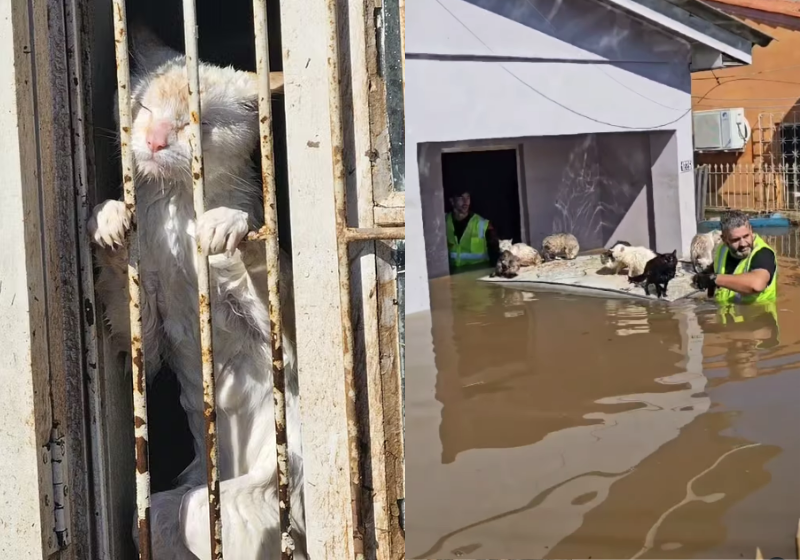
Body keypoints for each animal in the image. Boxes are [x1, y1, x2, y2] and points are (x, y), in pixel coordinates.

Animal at [88, 25, 306, 560]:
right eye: (143, 106)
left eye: (194, 121)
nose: (153, 139)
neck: (174, 205)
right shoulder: (147, 340)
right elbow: (132, 322)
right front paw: (109, 220)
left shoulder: (289, 346)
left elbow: (265, 270)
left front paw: (229, 225)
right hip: (165, 510)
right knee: (161, 516)